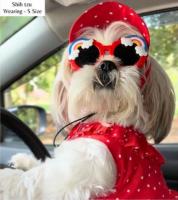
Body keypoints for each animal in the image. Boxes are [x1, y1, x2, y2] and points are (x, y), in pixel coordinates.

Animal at [0, 1, 178, 200]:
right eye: (86, 54)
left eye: (128, 54)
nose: (106, 64)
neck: (103, 119)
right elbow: (43, 166)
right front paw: (24, 161)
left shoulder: (80, 168)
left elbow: (31, 182)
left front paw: (5, 176)